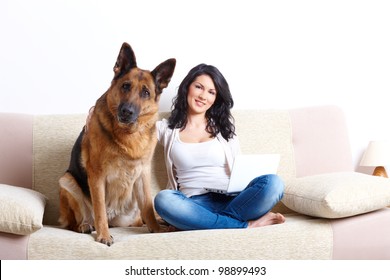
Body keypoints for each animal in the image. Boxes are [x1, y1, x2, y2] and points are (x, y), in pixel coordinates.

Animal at [58, 42, 176, 245]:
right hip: (66, 181)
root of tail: (115, 220)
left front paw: (156, 230)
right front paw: (103, 236)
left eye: (146, 93)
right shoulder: (96, 176)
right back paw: (85, 225)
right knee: (76, 221)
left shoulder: (143, 174)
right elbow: (99, 210)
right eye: (125, 86)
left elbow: (148, 206)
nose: (127, 111)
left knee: (141, 216)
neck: (128, 135)